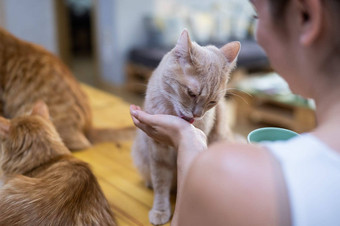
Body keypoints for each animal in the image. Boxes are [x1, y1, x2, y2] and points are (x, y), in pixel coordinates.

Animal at [131, 29, 240, 224]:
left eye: (212, 102)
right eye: (191, 93)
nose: (197, 114)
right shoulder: (158, 152)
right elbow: (160, 182)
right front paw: (160, 210)